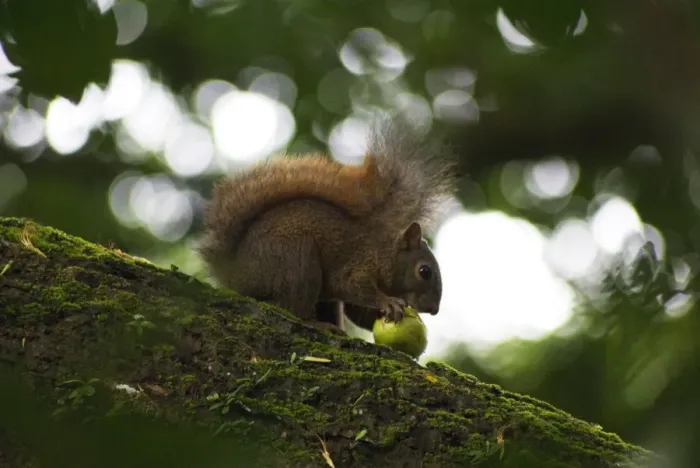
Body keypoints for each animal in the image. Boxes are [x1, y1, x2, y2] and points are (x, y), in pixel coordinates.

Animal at [198, 118, 457, 333]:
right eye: (424, 272)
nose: (434, 310)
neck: (384, 252)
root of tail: (234, 273)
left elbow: (359, 313)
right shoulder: (358, 262)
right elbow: (349, 285)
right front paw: (388, 302)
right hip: (296, 260)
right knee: (293, 308)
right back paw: (317, 324)